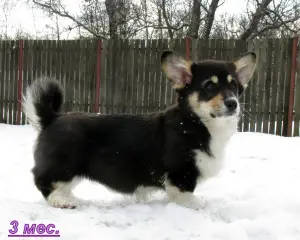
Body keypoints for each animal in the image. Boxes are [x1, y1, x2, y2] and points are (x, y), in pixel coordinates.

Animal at [22, 50, 255, 210]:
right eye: (209, 86)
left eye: (234, 86)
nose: (233, 103)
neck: (197, 123)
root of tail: (51, 118)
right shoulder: (181, 171)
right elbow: (184, 191)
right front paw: (195, 204)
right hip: (64, 164)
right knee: (43, 181)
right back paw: (62, 201)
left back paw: (71, 198)